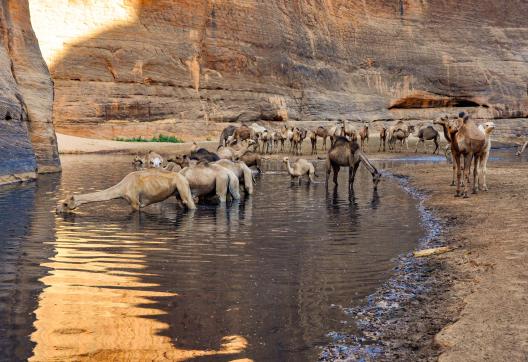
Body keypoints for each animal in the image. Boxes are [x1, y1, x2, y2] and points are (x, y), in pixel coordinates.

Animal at [56, 169, 196, 214]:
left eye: (65, 204)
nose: (57, 210)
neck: (122, 188)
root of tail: (184, 177)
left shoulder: (135, 202)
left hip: (182, 187)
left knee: (190, 204)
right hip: (178, 192)